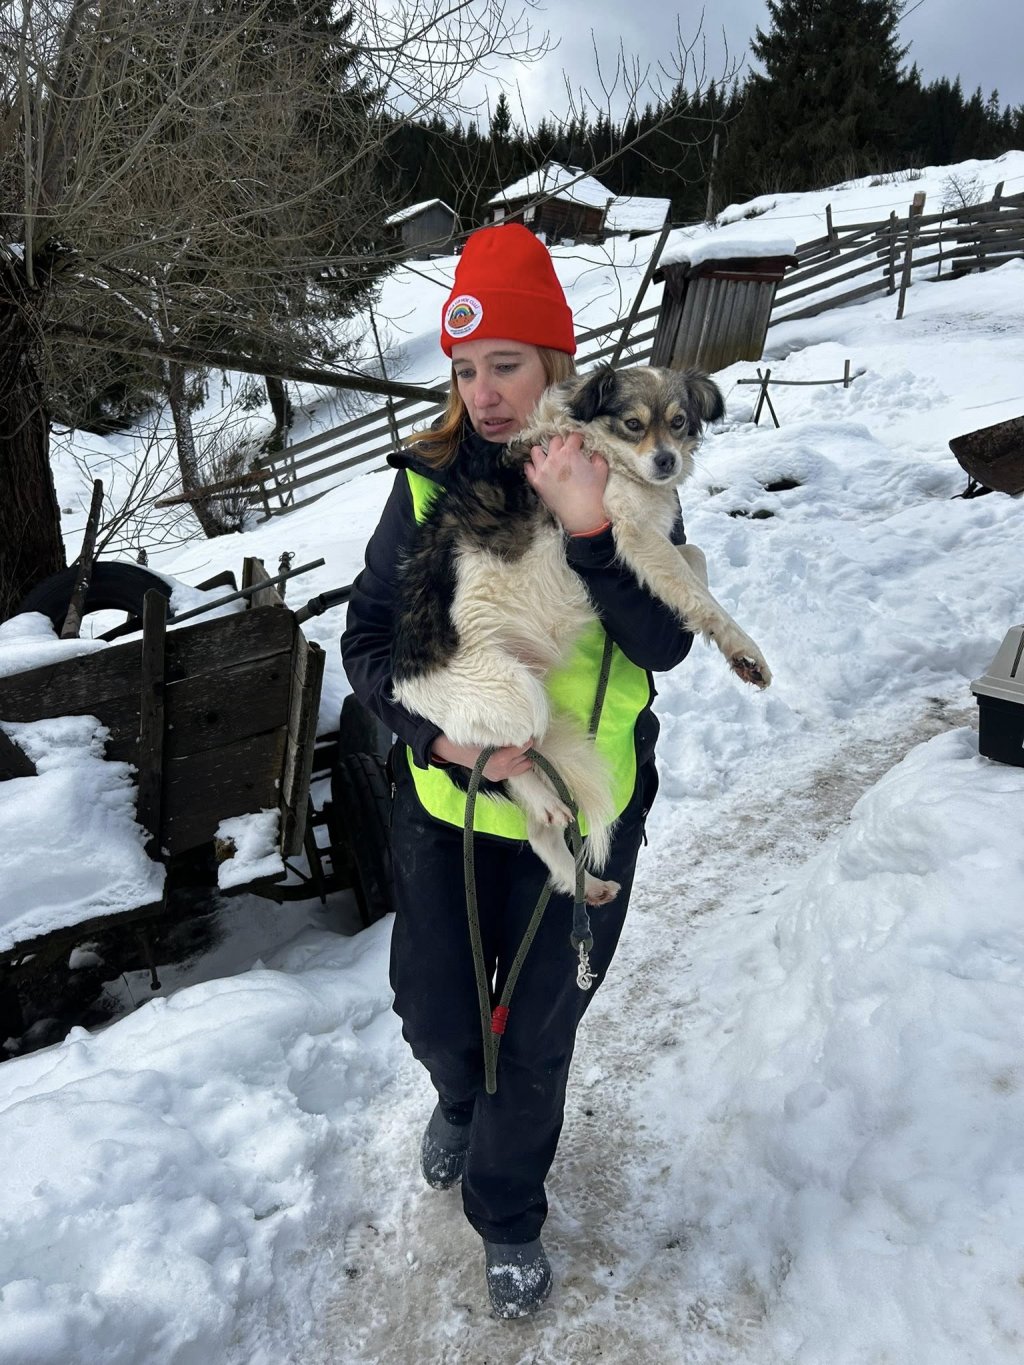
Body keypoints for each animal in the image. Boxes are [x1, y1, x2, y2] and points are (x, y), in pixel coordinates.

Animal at [391, 364, 771, 904]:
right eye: (633, 424)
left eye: (678, 421)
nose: (666, 461)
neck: (603, 449)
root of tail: (402, 679)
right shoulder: (634, 533)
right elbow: (700, 593)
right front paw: (743, 650)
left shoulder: (646, 541)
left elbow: (695, 559)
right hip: (514, 695)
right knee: (502, 757)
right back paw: (543, 803)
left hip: (529, 704)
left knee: (534, 816)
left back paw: (584, 882)